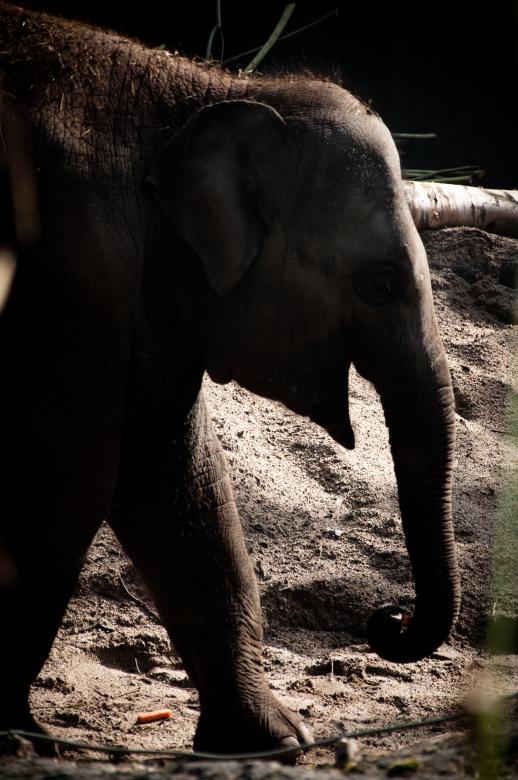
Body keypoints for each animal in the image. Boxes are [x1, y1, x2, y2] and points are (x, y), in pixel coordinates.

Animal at [0, 2, 460, 756]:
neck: (200, 91)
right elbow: (67, 483)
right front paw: (16, 734)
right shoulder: (74, 278)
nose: (386, 619)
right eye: (380, 284)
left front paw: (272, 739)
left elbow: (175, 478)